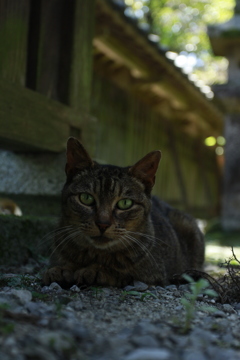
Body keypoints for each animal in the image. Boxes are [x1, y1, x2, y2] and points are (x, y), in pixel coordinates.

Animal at [43, 137, 204, 286]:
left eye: (125, 203)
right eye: (86, 198)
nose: (102, 224)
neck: (95, 255)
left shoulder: (153, 274)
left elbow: (121, 273)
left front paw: (95, 270)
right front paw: (62, 269)